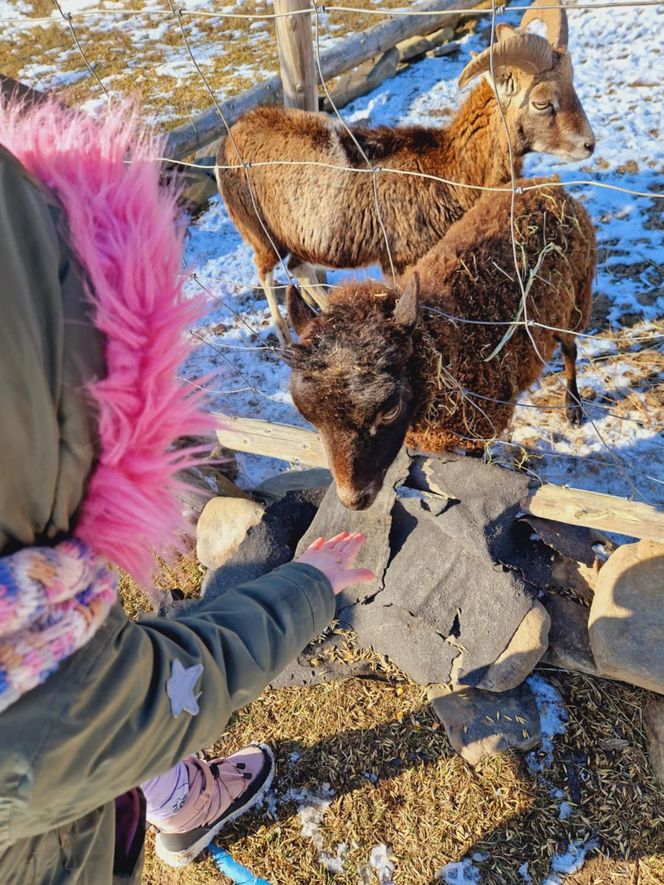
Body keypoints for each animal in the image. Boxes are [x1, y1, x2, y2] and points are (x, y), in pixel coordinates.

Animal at [218, 0, 596, 342]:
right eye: (542, 103)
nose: (589, 144)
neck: (449, 170)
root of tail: (229, 143)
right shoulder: (400, 263)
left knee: (300, 269)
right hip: (262, 237)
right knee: (267, 274)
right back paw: (284, 338)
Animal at [282, 183, 592, 508]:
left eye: (390, 410)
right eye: (309, 417)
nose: (353, 500)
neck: (447, 344)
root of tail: (550, 186)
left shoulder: (478, 428)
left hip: (575, 303)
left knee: (570, 350)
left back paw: (573, 407)